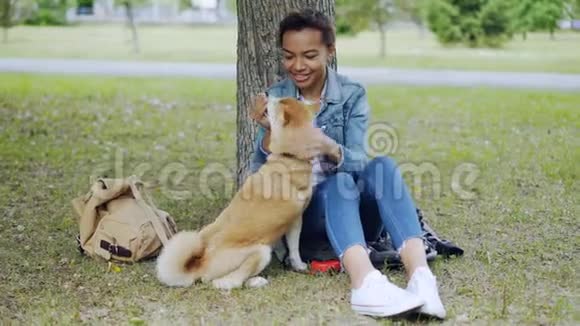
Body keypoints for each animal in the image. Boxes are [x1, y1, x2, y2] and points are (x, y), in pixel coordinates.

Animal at [156, 97, 314, 290]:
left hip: (208, 230)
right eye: (277, 103)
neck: (288, 157)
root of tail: (201, 264)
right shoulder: (296, 219)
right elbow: (294, 248)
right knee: (228, 281)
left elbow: (290, 247)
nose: (267, 96)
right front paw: (299, 265)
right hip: (261, 251)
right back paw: (255, 281)